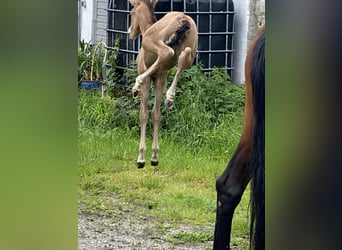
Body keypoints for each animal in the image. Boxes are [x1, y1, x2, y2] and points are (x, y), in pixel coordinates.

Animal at [127, 0, 198, 169]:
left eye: (131, 13)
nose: (130, 32)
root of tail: (184, 19)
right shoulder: (161, 79)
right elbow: (156, 114)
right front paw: (154, 157)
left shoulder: (150, 79)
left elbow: (144, 114)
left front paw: (141, 158)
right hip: (192, 48)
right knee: (183, 57)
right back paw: (170, 98)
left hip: (151, 41)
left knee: (167, 52)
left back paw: (136, 84)